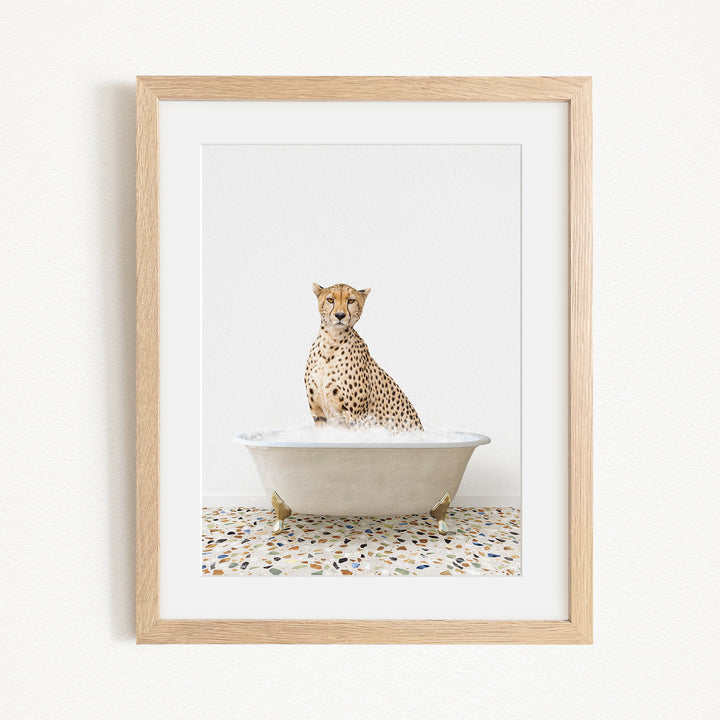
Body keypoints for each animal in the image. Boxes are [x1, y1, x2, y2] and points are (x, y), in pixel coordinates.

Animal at [304, 282, 423, 432]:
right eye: (330, 300)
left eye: (351, 301)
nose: (340, 315)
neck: (331, 342)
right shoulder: (318, 414)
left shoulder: (357, 417)